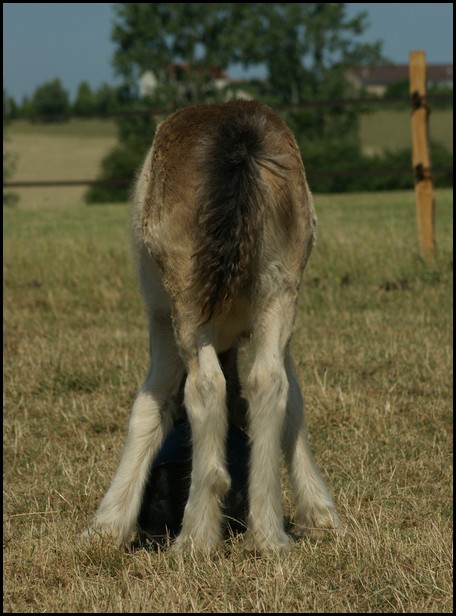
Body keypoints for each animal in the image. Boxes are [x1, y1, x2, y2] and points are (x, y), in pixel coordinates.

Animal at [83, 98, 338, 552]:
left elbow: (151, 403)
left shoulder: (160, 320)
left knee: (205, 386)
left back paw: (196, 535)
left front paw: (107, 523)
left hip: (186, 301)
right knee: (269, 382)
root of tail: (237, 132)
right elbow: (293, 402)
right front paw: (319, 512)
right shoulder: (283, 331)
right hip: (280, 288)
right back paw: (268, 533)